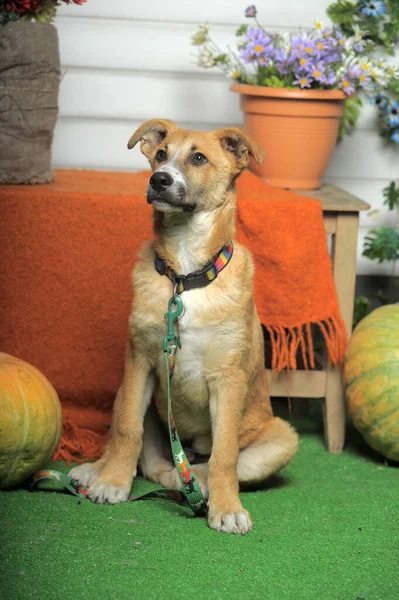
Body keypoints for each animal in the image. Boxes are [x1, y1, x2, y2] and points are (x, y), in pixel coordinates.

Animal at [70, 118, 298, 536]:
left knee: (206, 467)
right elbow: (127, 429)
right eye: (160, 155)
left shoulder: (228, 378)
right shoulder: (140, 361)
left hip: (282, 436)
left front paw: (226, 509)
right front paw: (112, 482)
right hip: (125, 389)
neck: (186, 274)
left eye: (199, 158)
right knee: (149, 460)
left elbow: (225, 455)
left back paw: (199, 487)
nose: (159, 179)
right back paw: (98, 471)